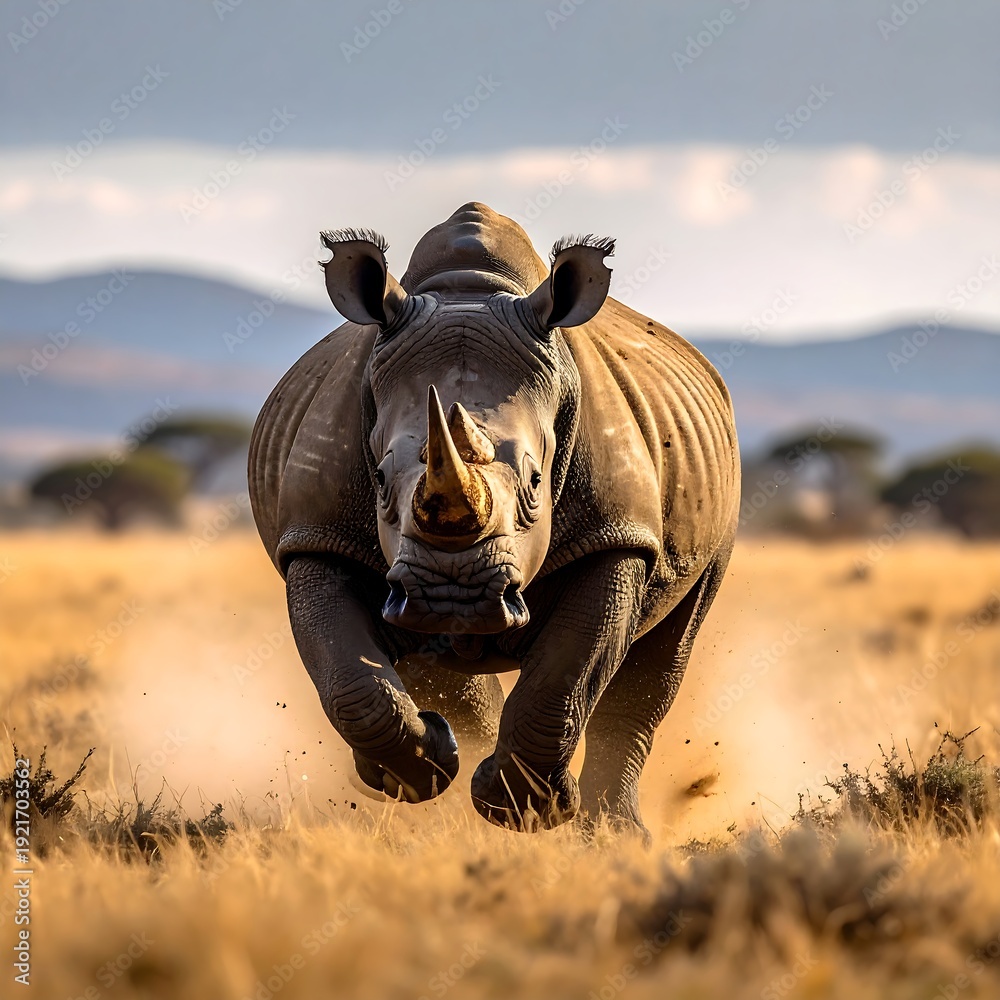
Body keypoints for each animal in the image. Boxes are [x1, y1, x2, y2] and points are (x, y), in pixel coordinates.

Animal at [249, 202, 739, 837]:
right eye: (378, 479)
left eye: (535, 483)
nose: (452, 597)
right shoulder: (317, 537)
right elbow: (352, 683)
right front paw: (422, 771)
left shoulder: (618, 536)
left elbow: (564, 678)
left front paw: (527, 809)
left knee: (666, 652)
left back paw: (615, 833)